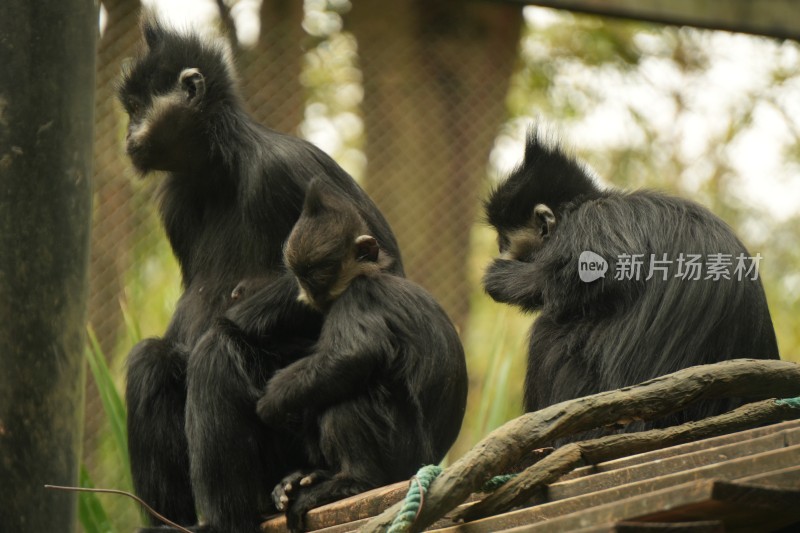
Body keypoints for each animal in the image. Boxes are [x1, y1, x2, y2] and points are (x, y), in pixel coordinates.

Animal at [118, 14, 400, 528]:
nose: (128, 134)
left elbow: (383, 266)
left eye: (137, 108)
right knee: (151, 360)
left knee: (217, 350)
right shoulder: (176, 200)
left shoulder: (282, 167)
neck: (220, 171)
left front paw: (233, 319)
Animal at [256, 180, 468, 532]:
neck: (366, 276)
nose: (307, 293)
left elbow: (352, 356)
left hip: (399, 450)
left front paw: (271, 400)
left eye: (317, 273)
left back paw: (354, 481)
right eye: (300, 275)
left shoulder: (361, 296)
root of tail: (427, 459)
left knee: (348, 396)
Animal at [484, 130, 780, 436]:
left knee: (549, 331)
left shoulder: (595, 218)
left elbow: (602, 271)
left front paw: (506, 279)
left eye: (503, 240)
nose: (501, 251)